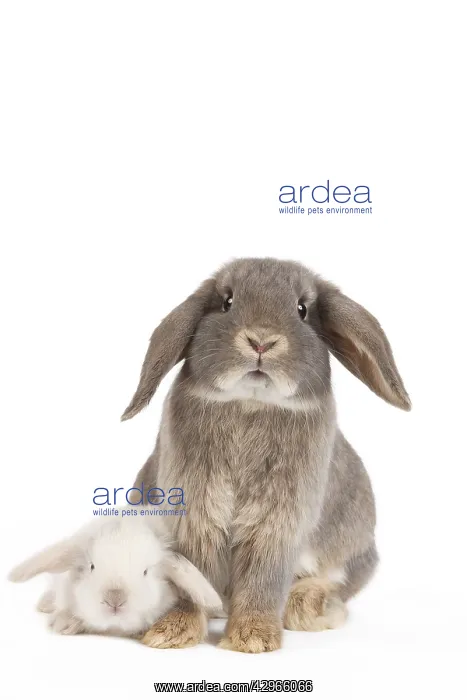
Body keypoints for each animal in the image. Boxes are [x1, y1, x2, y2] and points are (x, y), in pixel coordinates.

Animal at [121, 257, 411, 653]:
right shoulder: (193, 515)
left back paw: (309, 606)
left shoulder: (277, 525)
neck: (250, 403)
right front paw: (170, 632)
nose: (261, 340)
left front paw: (253, 638)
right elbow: (190, 575)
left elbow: (263, 577)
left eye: (302, 310)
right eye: (227, 302)